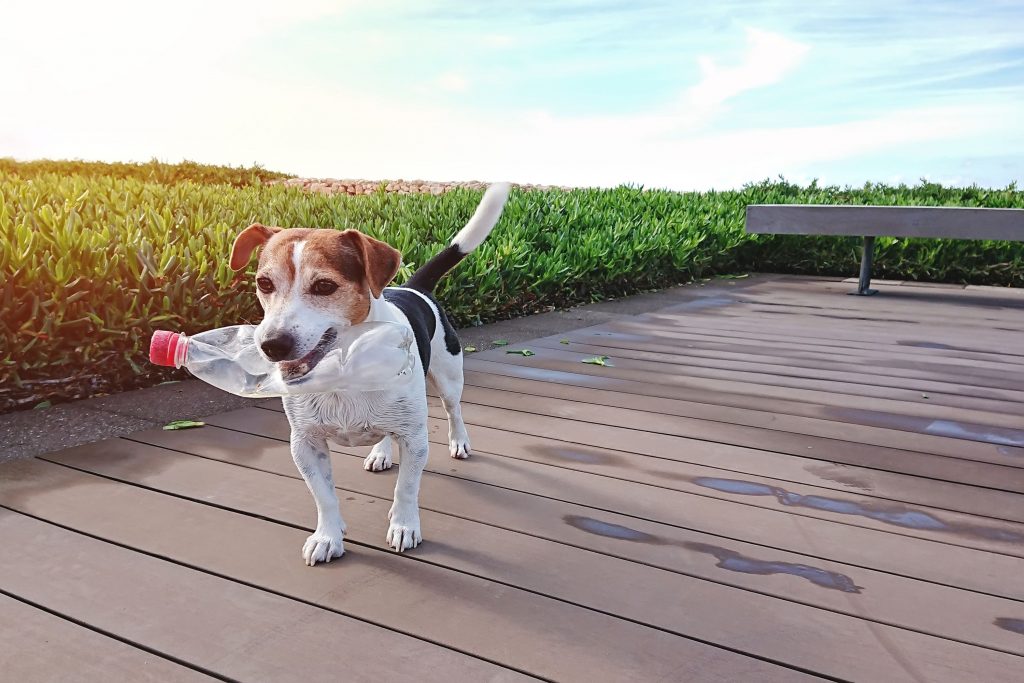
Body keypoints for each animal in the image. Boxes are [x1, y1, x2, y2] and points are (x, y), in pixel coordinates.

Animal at [227, 183, 507, 565]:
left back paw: (458, 441)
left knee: (454, 411)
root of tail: (413, 288)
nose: (271, 345)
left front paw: (404, 526)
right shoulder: (304, 444)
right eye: (264, 283)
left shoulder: (415, 439)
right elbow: (324, 496)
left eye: (325, 286)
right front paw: (327, 536)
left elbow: (406, 488)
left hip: (449, 377)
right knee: (385, 431)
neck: (344, 373)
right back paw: (380, 452)